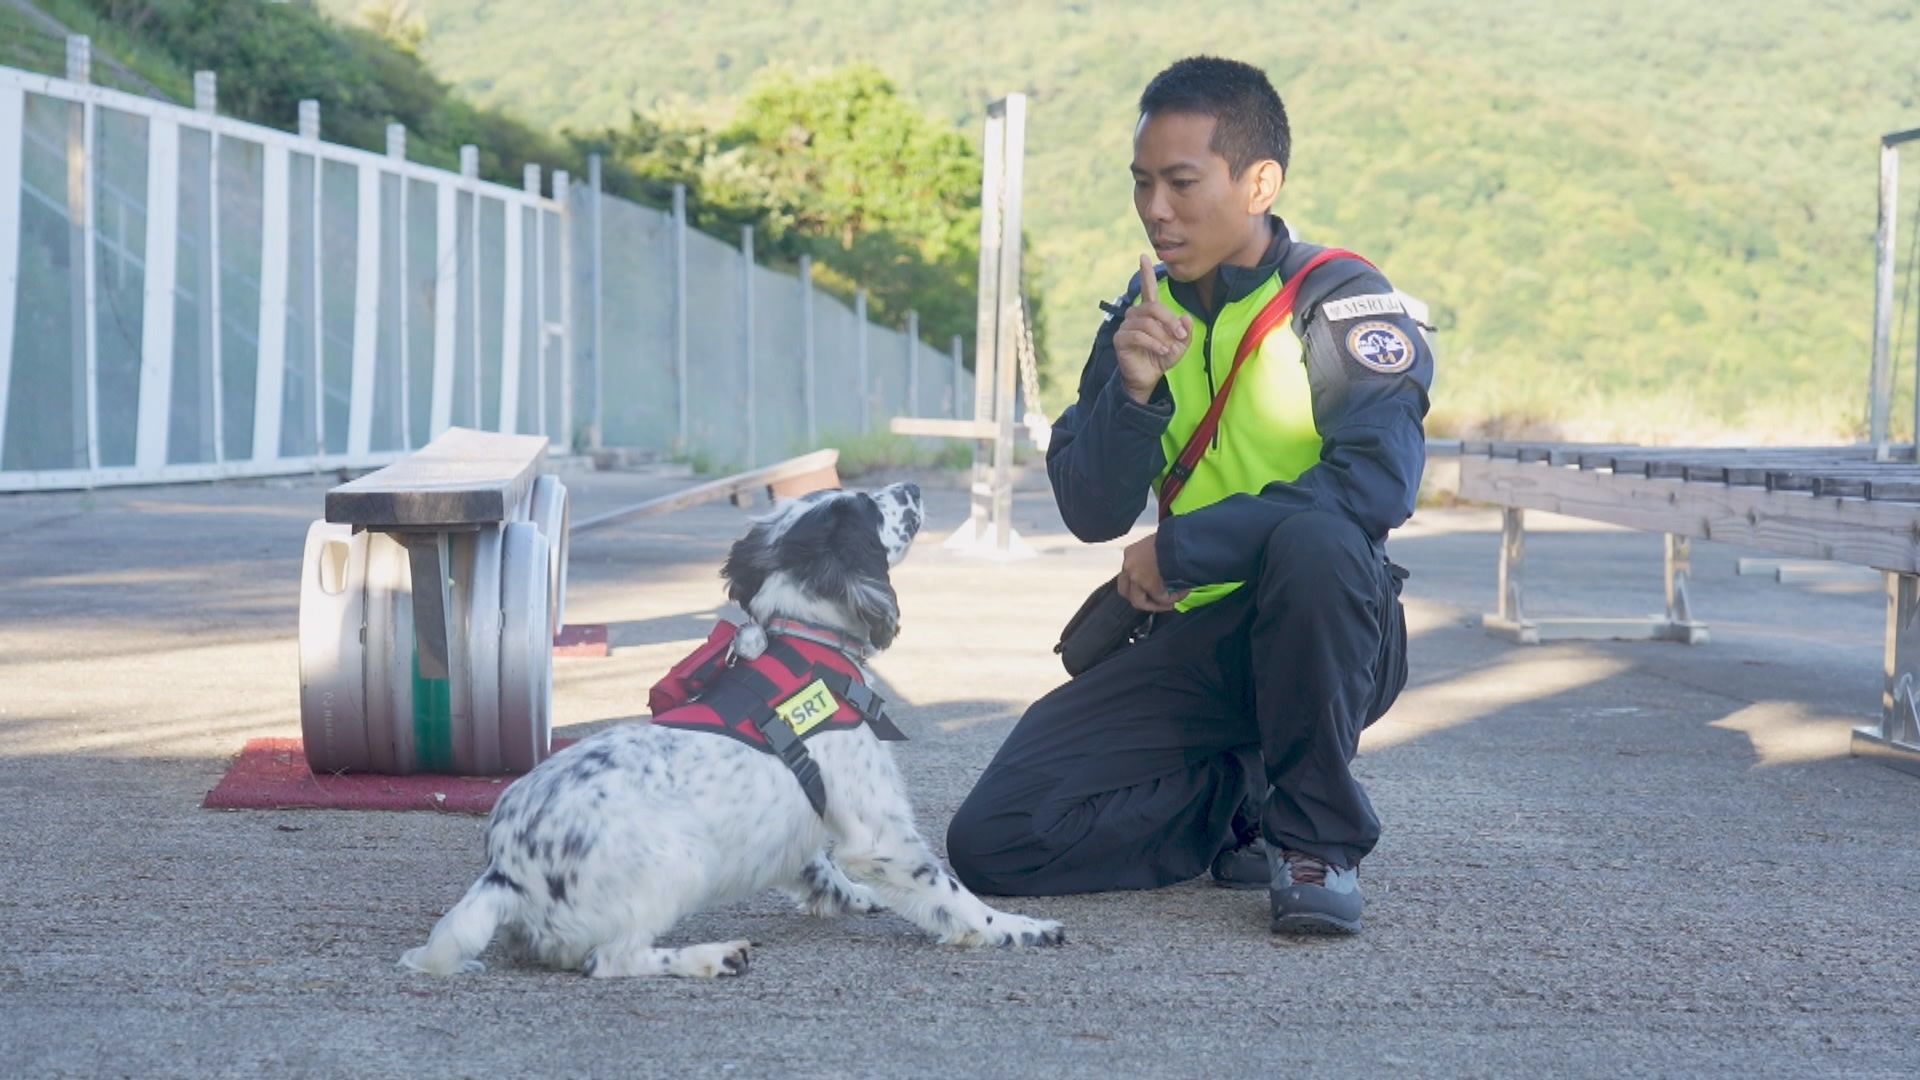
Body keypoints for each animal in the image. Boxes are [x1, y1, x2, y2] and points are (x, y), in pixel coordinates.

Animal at [403, 484, 1067, 972]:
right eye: (869, 507)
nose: (912, 486)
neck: (807, 645)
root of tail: (503, 874)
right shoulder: (879, 834)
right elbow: (952, 895)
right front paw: (1019, 928)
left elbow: (815, 863)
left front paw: (848, 897)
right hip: (678, 863)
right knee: (612, 959)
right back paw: (711, 958)